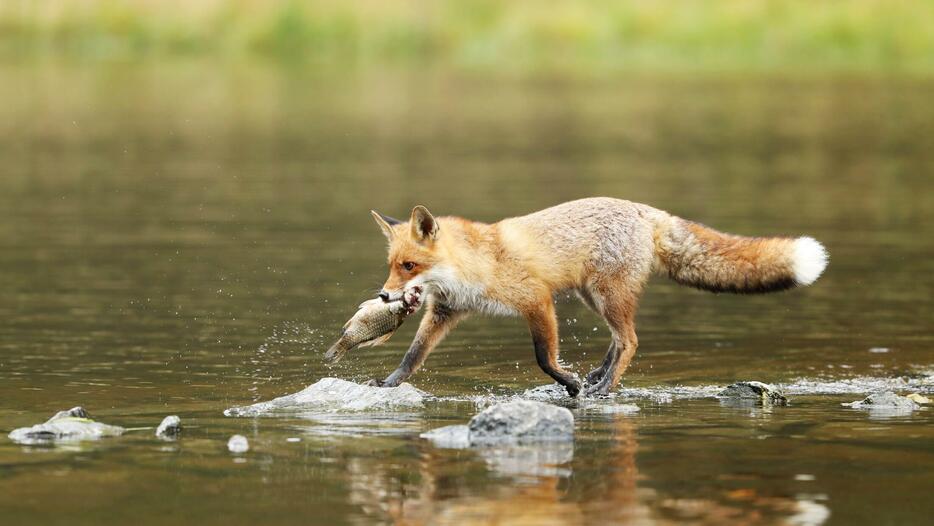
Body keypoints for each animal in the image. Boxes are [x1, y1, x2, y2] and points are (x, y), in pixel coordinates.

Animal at [370, 198, 828, 396]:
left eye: (409, 266)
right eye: (392, 265)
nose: (385, 294)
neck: (475, 264)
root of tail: (645, 209)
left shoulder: (537, 300)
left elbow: (544, 358)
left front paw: (570, 383)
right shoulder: (446, 312)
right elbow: (412, 356)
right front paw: (389, 382)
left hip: (607, 296)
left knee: (631, 341)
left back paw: (603, 386)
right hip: (595, 298)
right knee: (618, 340)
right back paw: (599, 376)